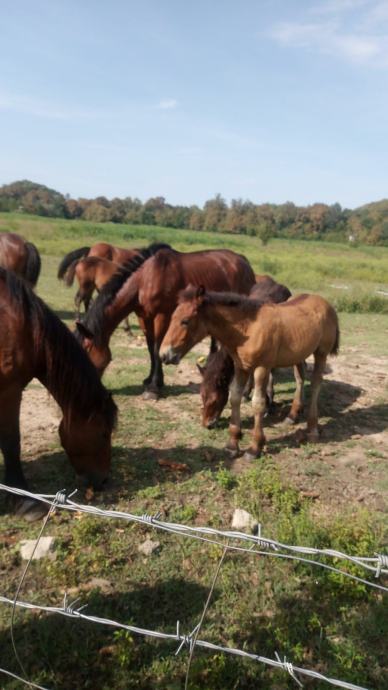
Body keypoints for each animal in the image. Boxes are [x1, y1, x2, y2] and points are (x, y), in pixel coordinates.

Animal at [75, 242, 258, 396]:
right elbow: (150, 347)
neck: (145, 279)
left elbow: (157, 347)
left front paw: (153, 388)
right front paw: (151, 380)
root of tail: (244, 262)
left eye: (86, 354)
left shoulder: (161, 315)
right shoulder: (144, 317)